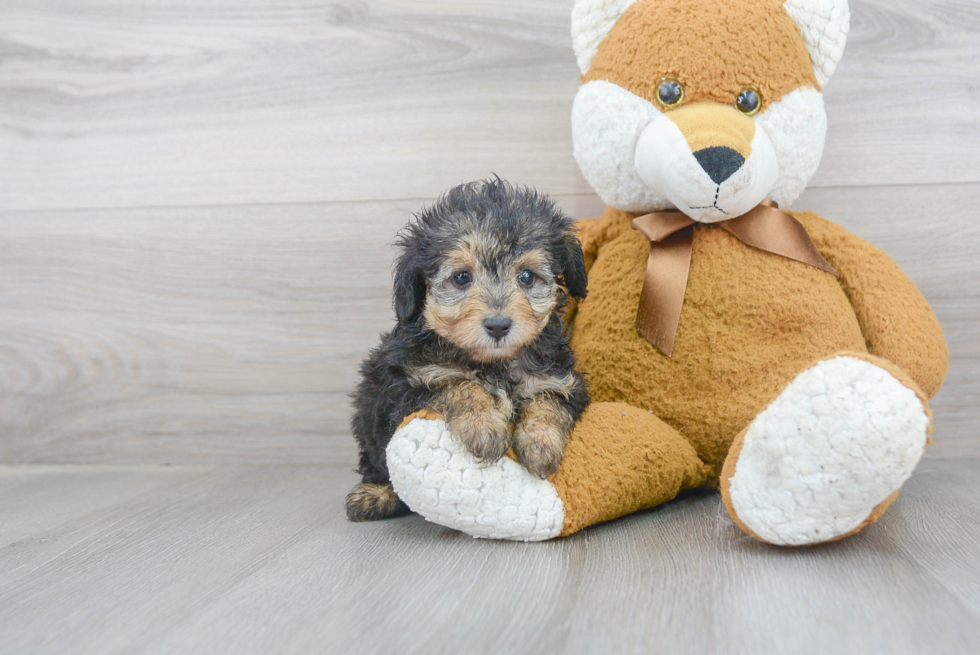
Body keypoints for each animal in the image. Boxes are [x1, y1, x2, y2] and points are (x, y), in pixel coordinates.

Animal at [346, 179, 588, 524]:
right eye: (462, 277)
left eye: (527, 277)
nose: (498, 325)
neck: (493, 363)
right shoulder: (408, 384)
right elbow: (459, 385)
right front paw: (484, 427)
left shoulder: (562, 379)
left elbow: (548, 401)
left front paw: (540, 444)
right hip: (369, 408)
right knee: (375, 458)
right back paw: (375, 494)